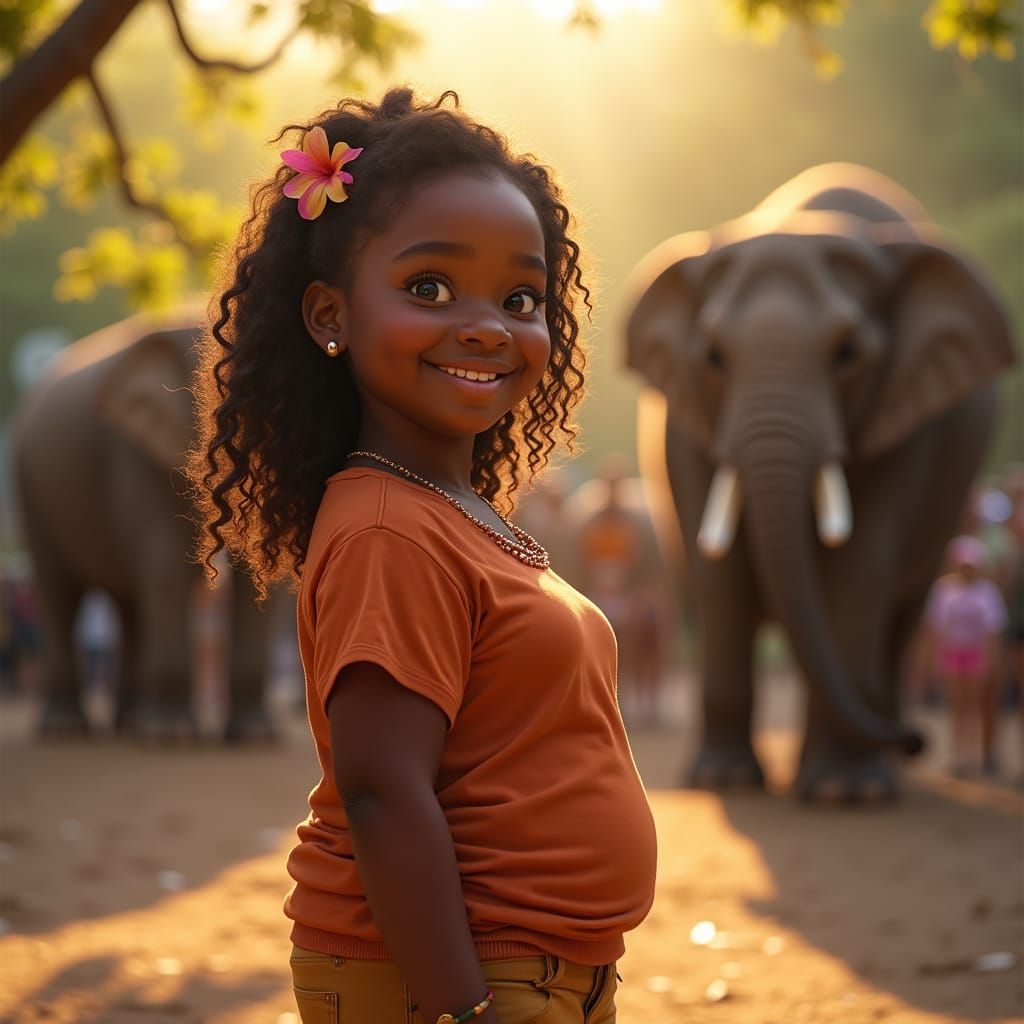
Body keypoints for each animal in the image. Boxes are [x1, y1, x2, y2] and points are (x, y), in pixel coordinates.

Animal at [10, 310, 290, 742]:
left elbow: (256, 577)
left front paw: (256, 737)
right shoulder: (137, 455)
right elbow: (167, 568)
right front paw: (171, 735)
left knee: (129, 607)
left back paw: (129, 722)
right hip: (30, 485)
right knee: (58, 591)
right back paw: (67, 727)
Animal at [624, 162, 1016, 802]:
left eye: (848, 353)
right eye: (713, 357)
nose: (917, 740)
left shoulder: (909, 417)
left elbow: (859, 563)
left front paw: (851, 795)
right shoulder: (684, 419)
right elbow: (720, 570)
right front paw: (724, 781)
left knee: (899, 613)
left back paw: (845, 777)